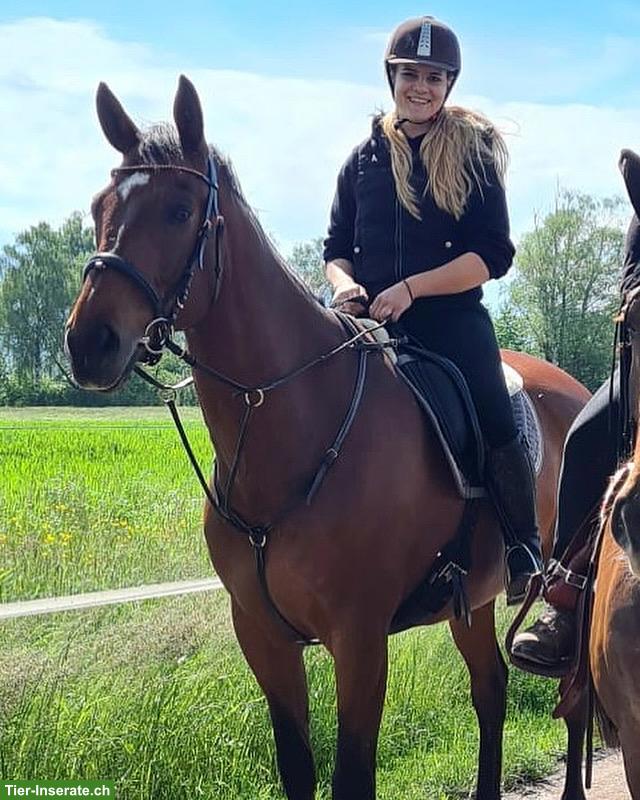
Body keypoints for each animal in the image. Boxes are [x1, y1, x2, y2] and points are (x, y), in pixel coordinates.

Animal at [64, 76, 589, 800]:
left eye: (178, 210)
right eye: (100, 206)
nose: (89, 344)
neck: (295, 429)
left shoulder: (360, 640)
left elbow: (351, 775)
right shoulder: (262, 635)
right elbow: (297, 767)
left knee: (576, 694)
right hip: (474, 601)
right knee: (491, 688)